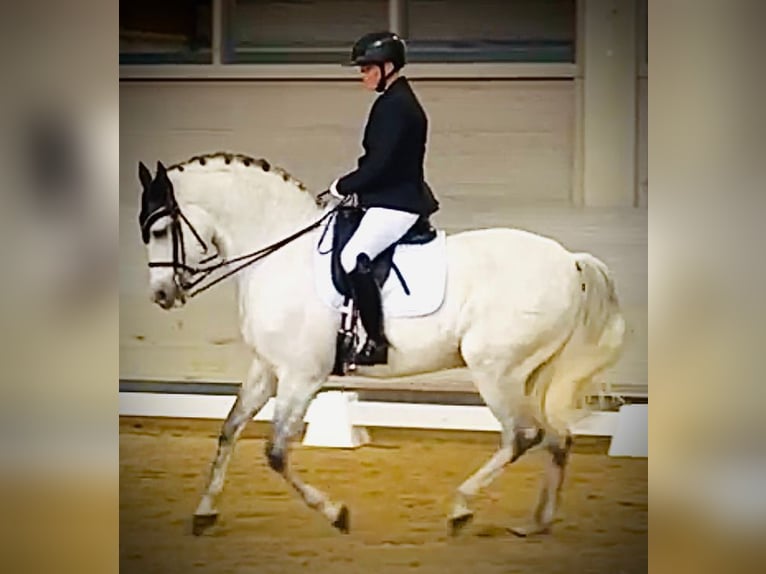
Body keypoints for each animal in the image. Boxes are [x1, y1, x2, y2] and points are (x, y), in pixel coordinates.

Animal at [136, 153, 632, 540]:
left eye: (159, 230)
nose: (161, 294)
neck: (278, 254)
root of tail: (569, 260)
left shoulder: (301, 375)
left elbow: (276, 453)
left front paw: (336, 513)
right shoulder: (268, 368)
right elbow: (229, 430)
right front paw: (204, 512)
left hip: (496, 368)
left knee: (523, 434)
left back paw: (461, 509)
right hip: (534, 371)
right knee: (557, 436)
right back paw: (537, 522)